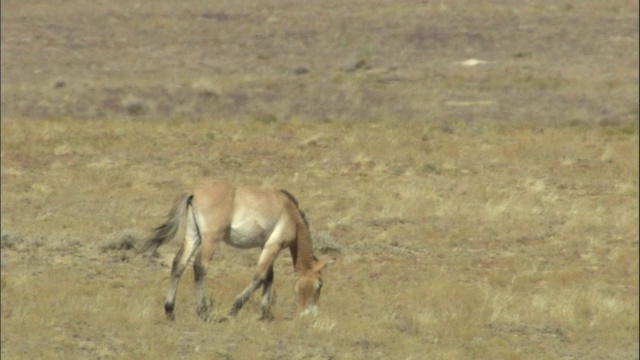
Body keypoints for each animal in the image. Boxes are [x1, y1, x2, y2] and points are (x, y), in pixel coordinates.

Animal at [141, 180, 336, 320]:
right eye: (319, 285)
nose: (310, 314)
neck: (290, 212)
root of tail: (194, 192)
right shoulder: (274, 245)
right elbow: (259, 276)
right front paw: (234, 309)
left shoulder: (265, 246)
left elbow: (269, 277)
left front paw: (264, 314)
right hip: (211, 239)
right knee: (199, 266)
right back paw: (204, 312)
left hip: (193, 237)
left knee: (178, 264)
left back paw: (170, 311)